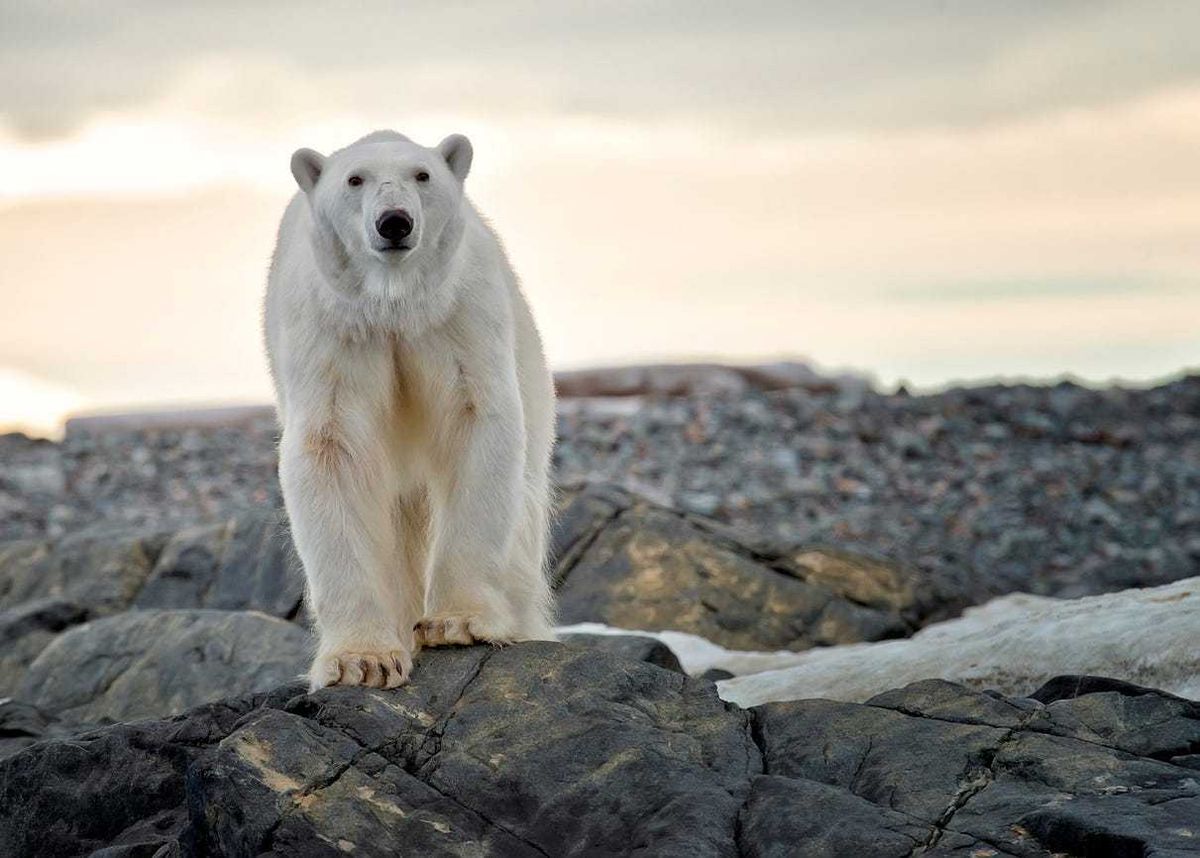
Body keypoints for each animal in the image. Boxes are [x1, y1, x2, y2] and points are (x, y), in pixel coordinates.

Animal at [263, 130, 557, 690]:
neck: (393, 307)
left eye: (422, 174)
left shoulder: (457, 316)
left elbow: (475, 422)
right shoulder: (331, 330)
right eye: (355, 179)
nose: (394, 221)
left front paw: (458, 622)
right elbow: (331, 448)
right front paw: (362, 660)